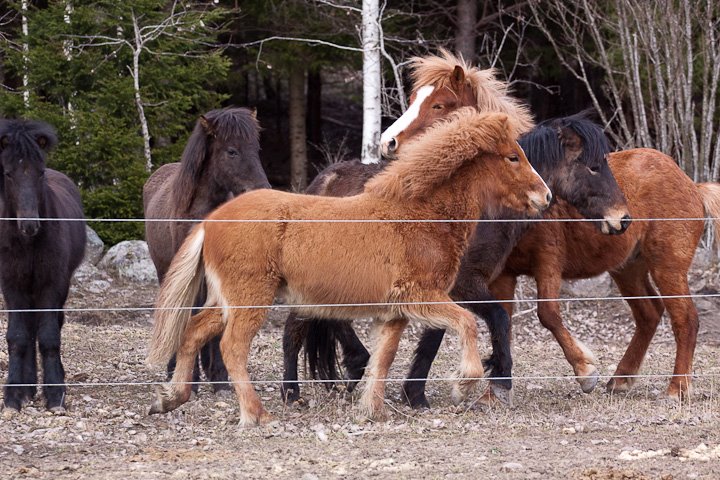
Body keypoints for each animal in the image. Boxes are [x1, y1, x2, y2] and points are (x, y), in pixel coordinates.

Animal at [0, 119, 86, 412]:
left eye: (40, 173)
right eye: (8, 174)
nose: (29, 225)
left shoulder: (52, 284)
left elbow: (49, 337)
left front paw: (56, 394)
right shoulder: (12, 286)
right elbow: (17, 337)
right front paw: (13, 396)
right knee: (28, 330)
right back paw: (27, 388)